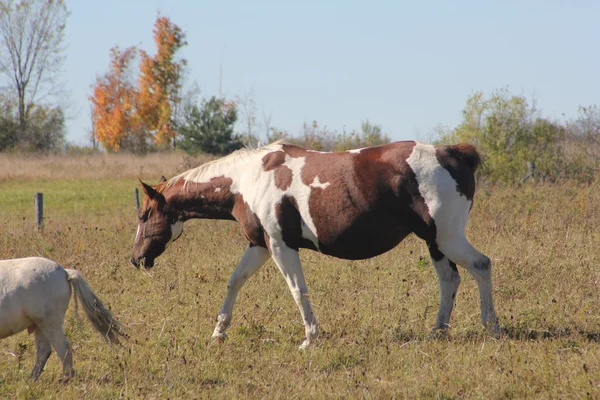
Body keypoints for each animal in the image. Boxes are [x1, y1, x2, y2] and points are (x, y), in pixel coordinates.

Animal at [132, 142, 502, 348]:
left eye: (145, 214)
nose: (136, 259)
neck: (247, 179)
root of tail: (452, 154)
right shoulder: (260, 246)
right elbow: (235, 282)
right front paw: (218, 332)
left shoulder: (281, 246)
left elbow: (298, 290)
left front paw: (310, 337)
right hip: (434, 242)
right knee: (449, 280)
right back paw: (438, 331)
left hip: (446, 238)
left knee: (481, 265)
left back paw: (492, 327)